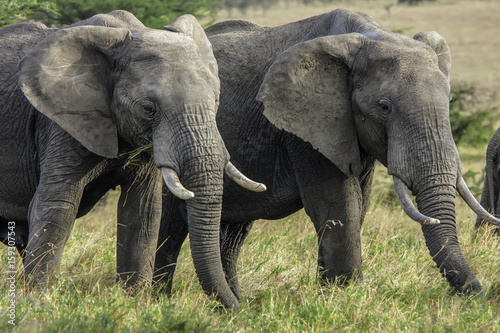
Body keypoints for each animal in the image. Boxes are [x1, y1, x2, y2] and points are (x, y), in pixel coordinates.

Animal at [0, 11, 264, 288]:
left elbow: (143, 212)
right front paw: (40, 297)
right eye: (149, 109)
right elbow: (56, 208)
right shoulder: (62, 122)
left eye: (215, 101)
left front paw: (134, 297)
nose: (235, 303)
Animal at [153, 7, 500, 310]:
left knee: (232, 233)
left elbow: (357, 205)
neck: (368, 36)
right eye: (384, 107)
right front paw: (345, 297)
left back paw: (231, 306)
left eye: (450, 101)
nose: (480, 296)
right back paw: (159, 301)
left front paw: (330, 294)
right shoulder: (306, 123)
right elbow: (336, 203)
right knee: (171, 226)